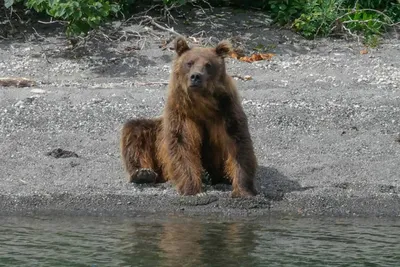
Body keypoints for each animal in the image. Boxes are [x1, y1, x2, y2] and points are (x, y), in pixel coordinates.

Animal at [119, 36, 256, 198]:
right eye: (189, 63)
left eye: (208, 65)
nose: (196, 76)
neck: (202, 103)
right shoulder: (181, 112)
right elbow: (182, 144)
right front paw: (191, 188)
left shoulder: (227, 109)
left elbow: (238, 143)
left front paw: (243, 189)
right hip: (156, 134)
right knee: (135, 130)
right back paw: (143, 173)